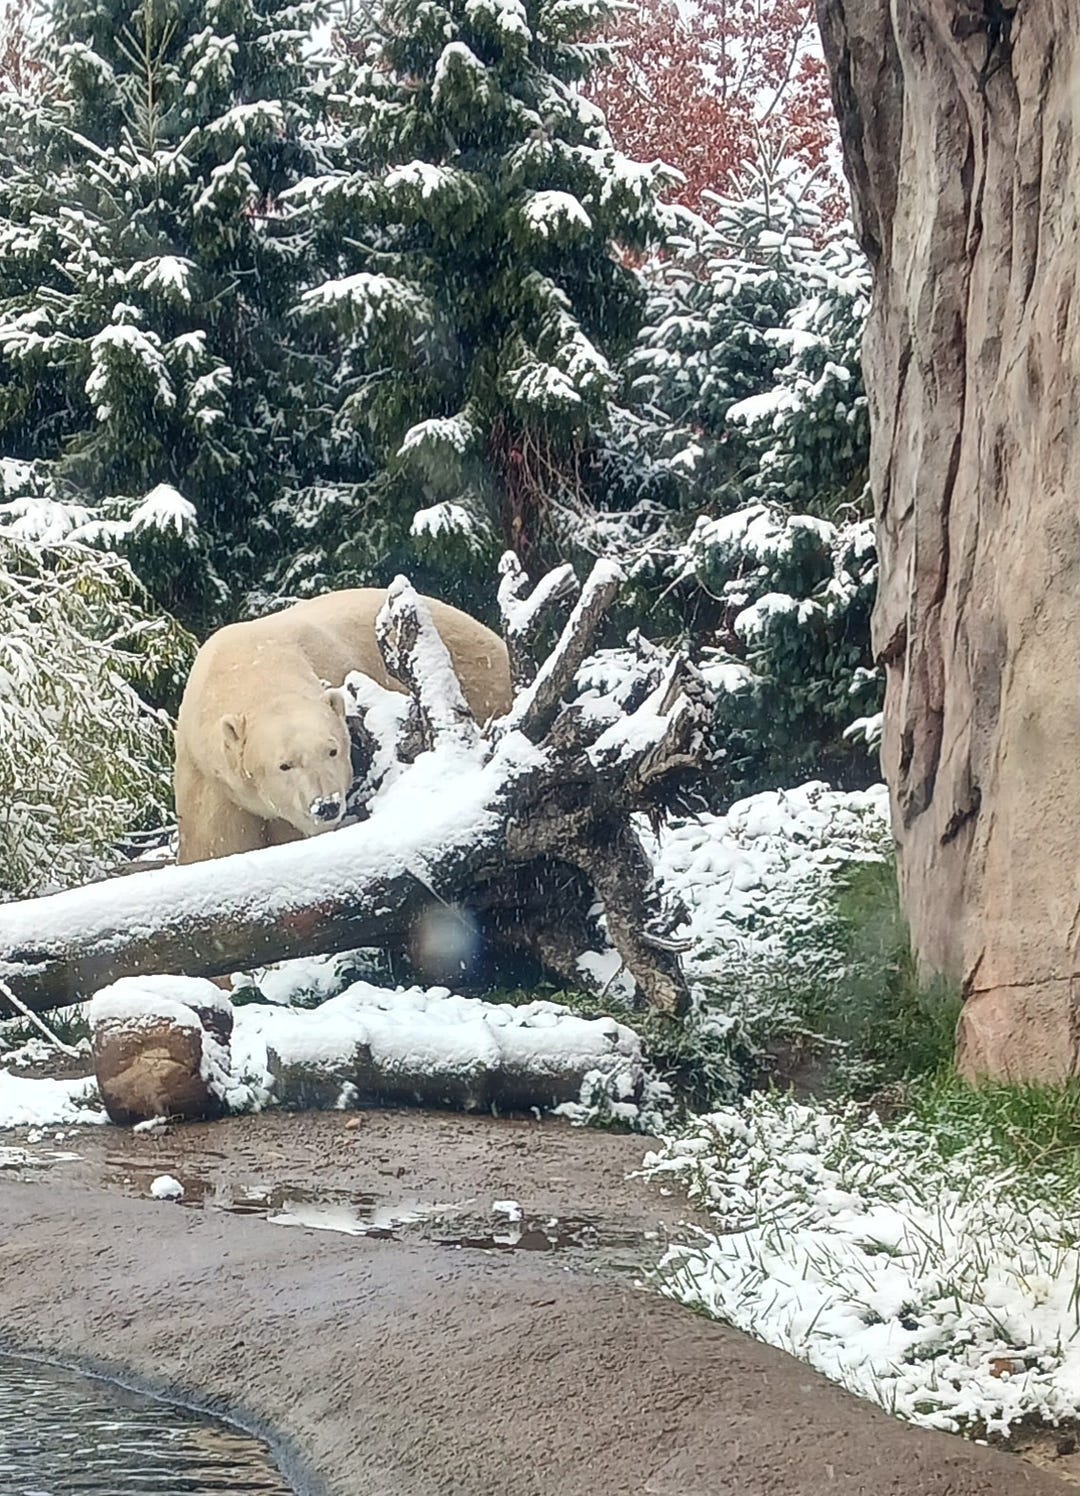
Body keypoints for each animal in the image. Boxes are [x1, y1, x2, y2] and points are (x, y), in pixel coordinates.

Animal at [174, 588, 513, 865]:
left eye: (332, 750)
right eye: (284, 765)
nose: (326, 806)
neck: (253, 665)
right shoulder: (207, 776)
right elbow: (214, 844)